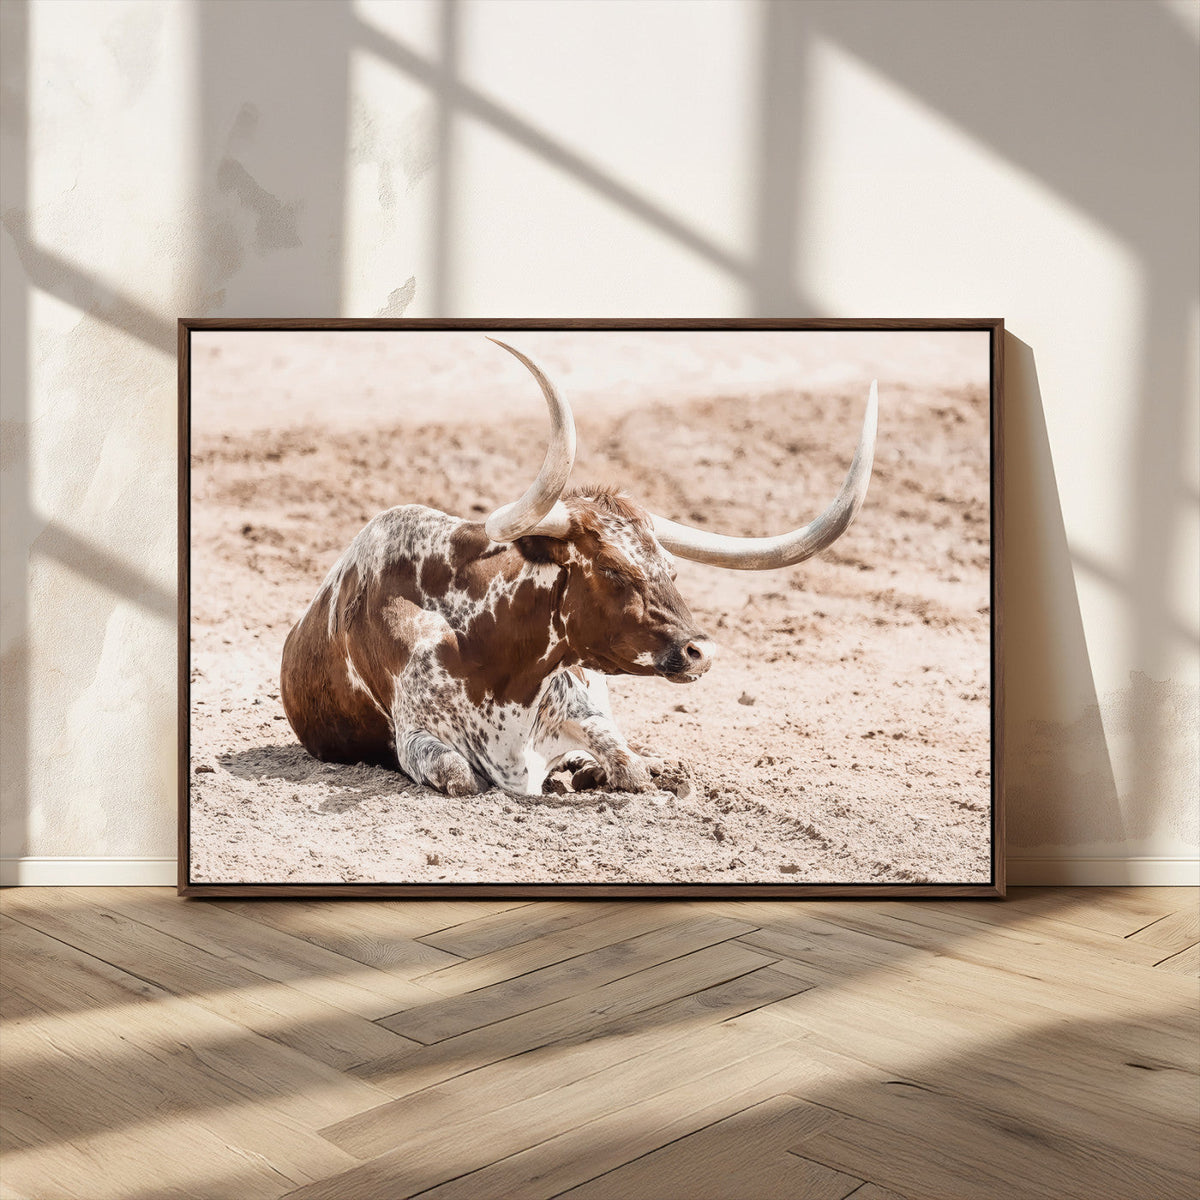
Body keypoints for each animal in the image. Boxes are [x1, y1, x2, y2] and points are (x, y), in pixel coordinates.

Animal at [280, 339, 877, 797]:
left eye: (671, 570)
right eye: (612, 571)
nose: (700, 652)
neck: (492, 654)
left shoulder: (584, 707)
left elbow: (629, 765)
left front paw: (624, 771)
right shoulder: (417, 740)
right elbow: (461, 775)